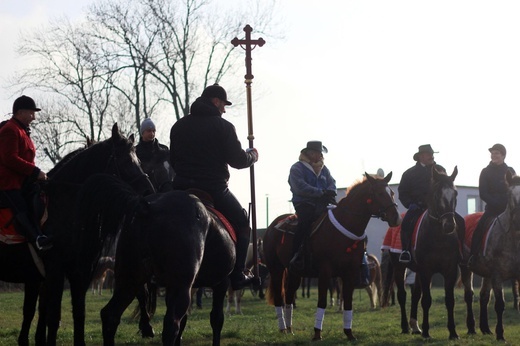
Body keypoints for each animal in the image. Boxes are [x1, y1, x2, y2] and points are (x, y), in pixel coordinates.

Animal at [73, 176, 236, 346]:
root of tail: (147, 208)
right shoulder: (221, 282)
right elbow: (216, 319)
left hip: (129, 281)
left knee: (110, 315)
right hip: (179, 285)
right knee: (171, 325)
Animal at [264, 172, 402, 340]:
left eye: (392, 193)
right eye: (380, 193)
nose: (396, 218)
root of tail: (272, 226)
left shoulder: (350, 273)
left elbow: (348, 302)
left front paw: (349, 333)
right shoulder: (325, 272)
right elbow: (322, 301)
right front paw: (317, 333)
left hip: (294, 273)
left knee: (289, 296)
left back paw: (290, 329)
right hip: (276, 269)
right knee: (279, 297)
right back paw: (283, 328)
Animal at [380, 166, 462, 340]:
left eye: (455, 193)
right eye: (437, 194)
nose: (449, 225)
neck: (438, 237)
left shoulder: (450, 271)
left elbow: (449, 300)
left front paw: (453, 332)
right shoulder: (426, 270)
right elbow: (426, 300)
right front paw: (426, 332)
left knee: (415, 294)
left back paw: (414, 326)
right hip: (399, 267)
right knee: (402, 295)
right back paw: (405, 326)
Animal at [462, 170, 520, 340]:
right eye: (509, 194)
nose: (518, 221)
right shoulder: (497, 275)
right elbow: (500, 305)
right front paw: (500, 334)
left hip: (486, 273)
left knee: (484, 296)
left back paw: (485, 328)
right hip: (465, 267)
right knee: (469, 295)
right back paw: (472, 327)